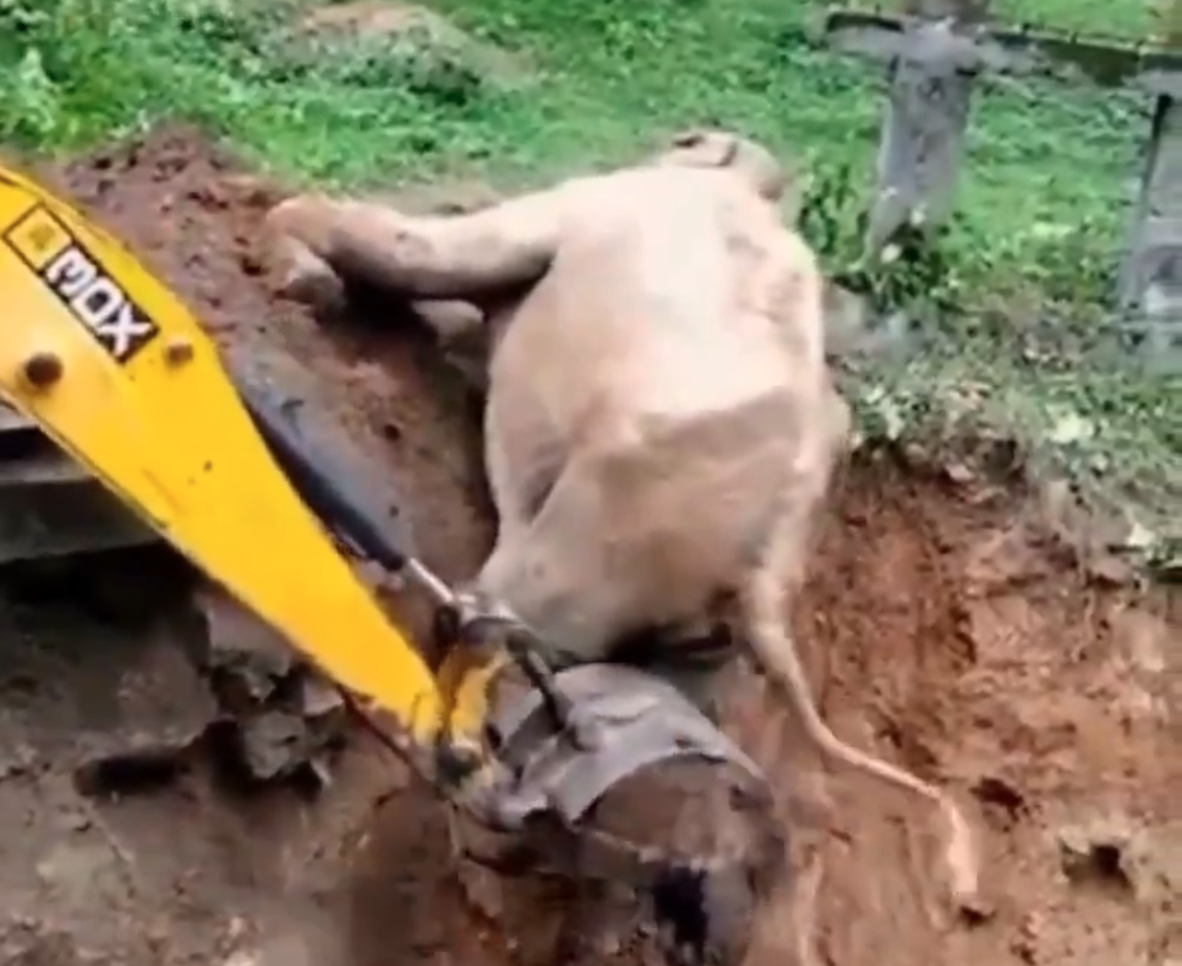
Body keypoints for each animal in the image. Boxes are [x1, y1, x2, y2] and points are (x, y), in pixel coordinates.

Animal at [265, 131, 978, 917]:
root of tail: (770, 566)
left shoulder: (589, 203)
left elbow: (439, 252)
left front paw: (293, 262)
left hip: (616, 520)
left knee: (495, 630)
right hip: (689, 612)